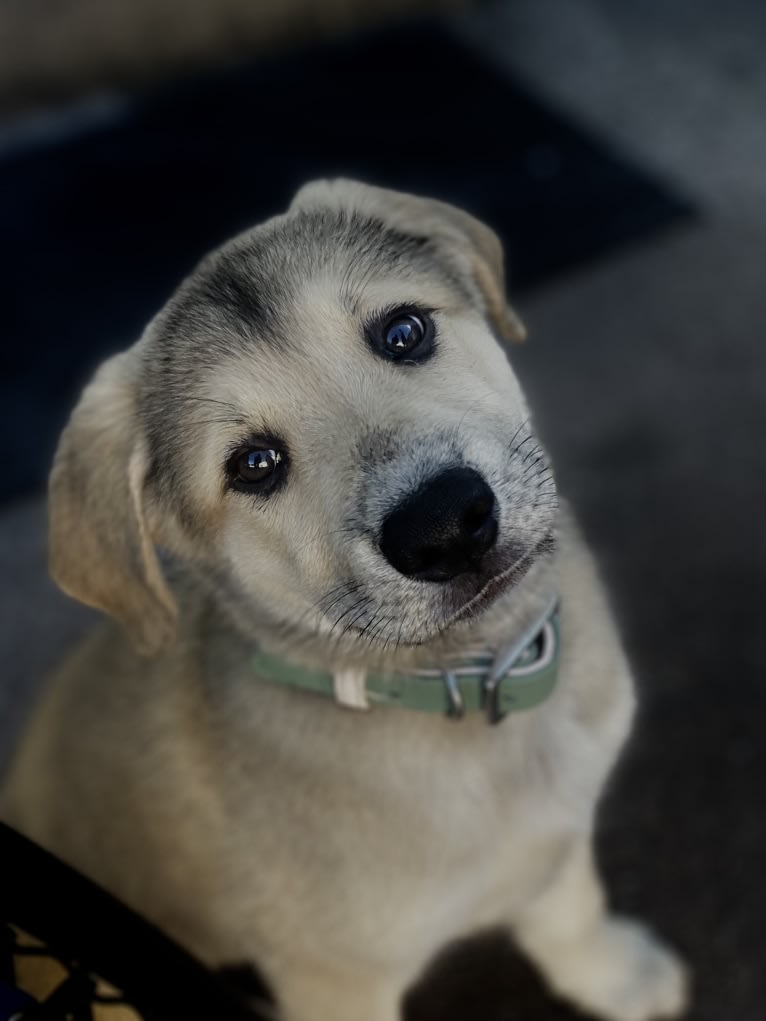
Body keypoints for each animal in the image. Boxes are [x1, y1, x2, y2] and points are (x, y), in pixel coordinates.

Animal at [1, 179, 690, 1016]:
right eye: (254, 464)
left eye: (404, 332)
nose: (444, 526)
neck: (466, 684)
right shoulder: (333, 978)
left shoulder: (555, 834)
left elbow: (569, 904)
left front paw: (613, 974)